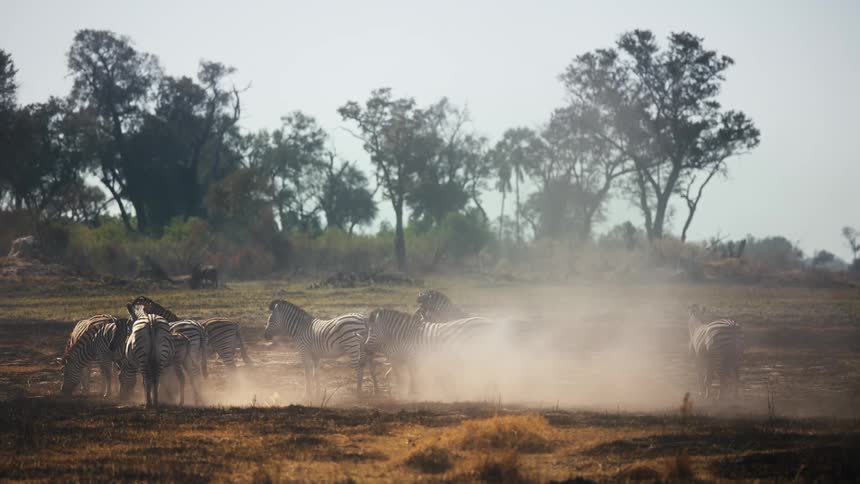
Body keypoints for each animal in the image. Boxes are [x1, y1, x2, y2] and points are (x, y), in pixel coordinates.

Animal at [365, 308, 495, 394]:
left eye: (371, 331)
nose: (365, 348)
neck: (407, 336)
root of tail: (489, 321)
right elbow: (413, 376)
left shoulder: (414, 358)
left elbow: (414, 376)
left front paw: (414, 392)